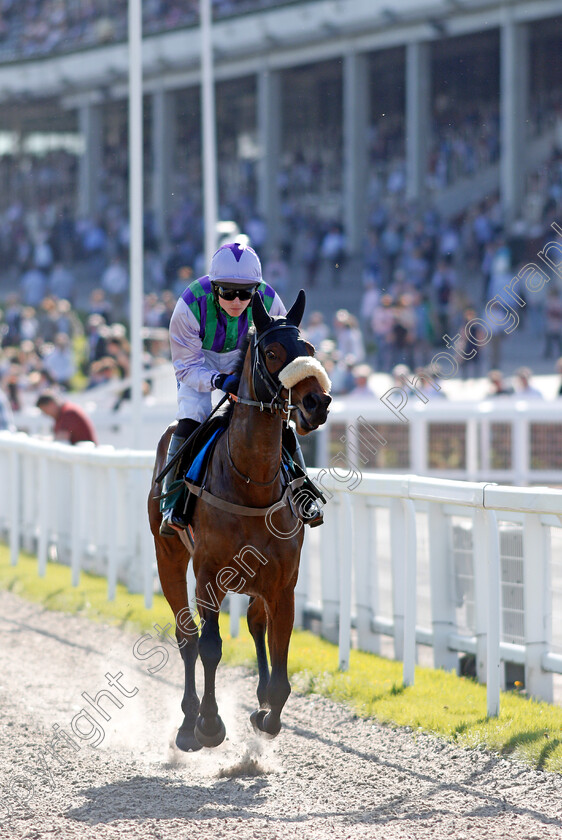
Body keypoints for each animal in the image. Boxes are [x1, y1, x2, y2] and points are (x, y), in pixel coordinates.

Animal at [149, 292, 330, 752]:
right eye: (273, 352)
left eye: (310, 348)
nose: (316, 403)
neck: (251, 484)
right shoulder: (208, 575)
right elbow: (210, 646)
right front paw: (209, 724)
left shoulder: (283, 584)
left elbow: (280, 663)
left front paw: (266, 714)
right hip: (168, 558)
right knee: (187, 636)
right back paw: (187, 722)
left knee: (253, 624)